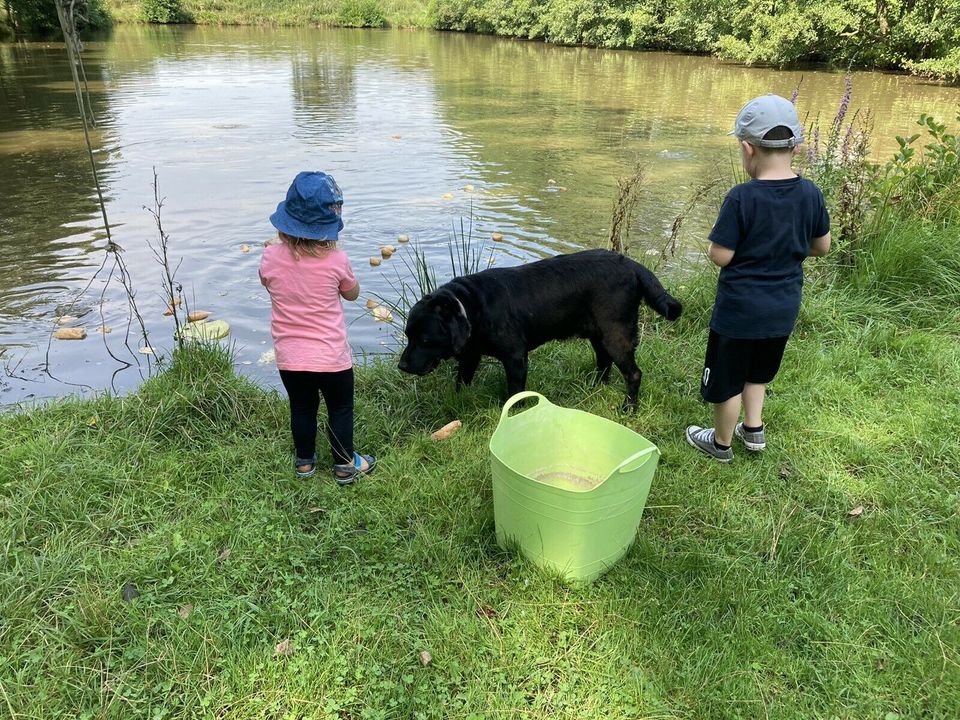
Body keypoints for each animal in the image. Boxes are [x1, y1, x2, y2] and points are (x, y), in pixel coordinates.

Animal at [398, 249, 684, 410]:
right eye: (408, 336)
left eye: (425, 339)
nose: (402, 365)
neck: (473, 307)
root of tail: (632, 265)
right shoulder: (470, 355)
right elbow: (461, 382)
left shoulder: (515, 358)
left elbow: (515, 392)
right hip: (598, 334)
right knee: (604, 362)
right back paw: (594, 387)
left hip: (616, 334)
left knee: (633, 373)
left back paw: (628, 407)